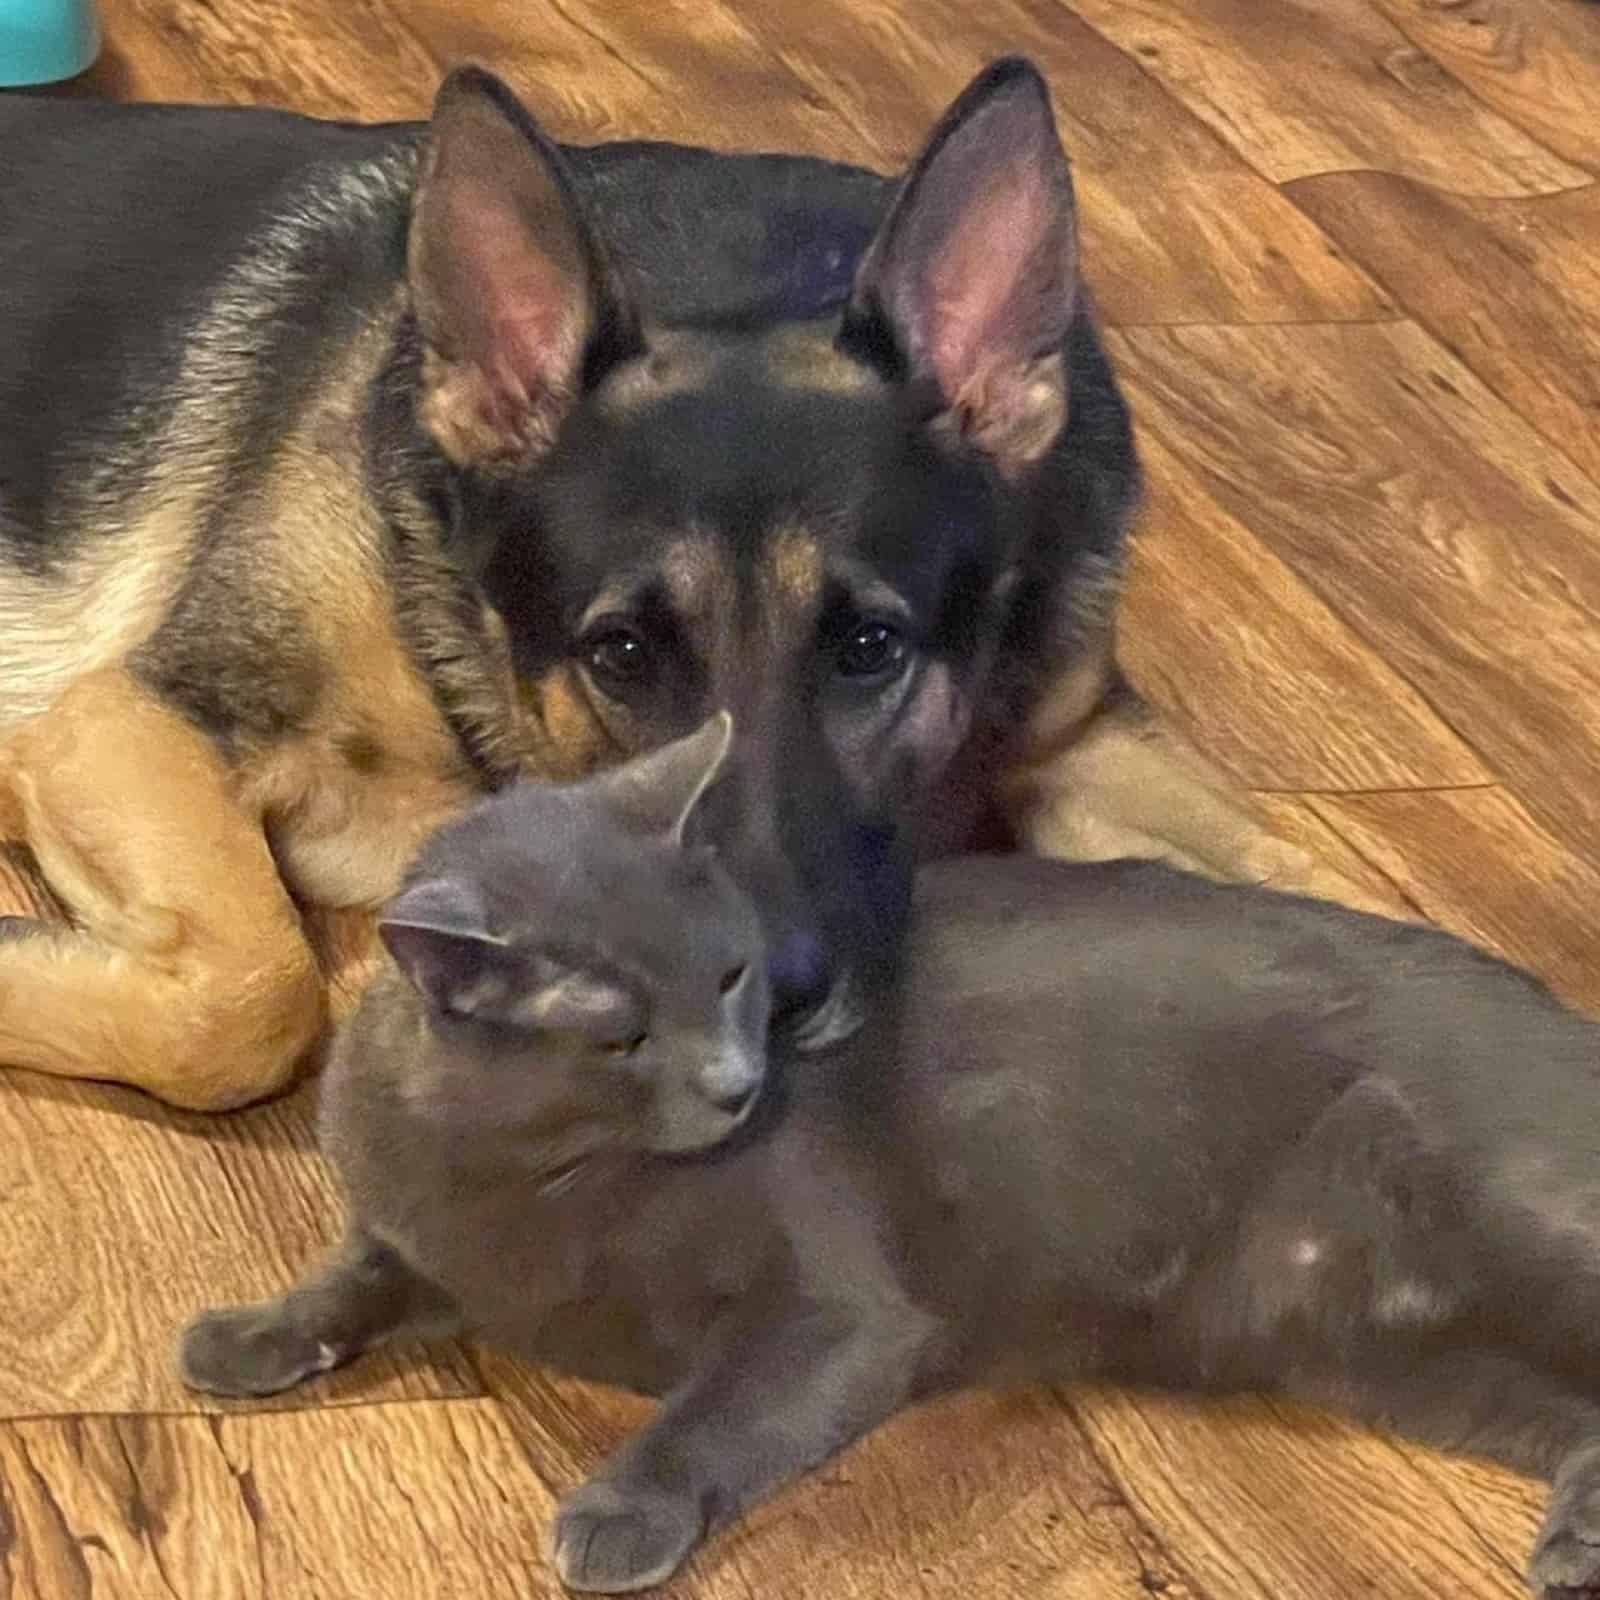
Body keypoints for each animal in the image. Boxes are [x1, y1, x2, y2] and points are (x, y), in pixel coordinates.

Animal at [0, 65, 1350, 1113]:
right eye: (623, 655)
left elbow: (1316, 874)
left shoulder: (1078, 740)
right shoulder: (130, 713)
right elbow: (252, 1001)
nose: (769, 1004)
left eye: (870, 646)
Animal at [181, 716, 1600, 1600]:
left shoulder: (840, 1307)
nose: (738, 1080)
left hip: (1499, 1222)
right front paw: (243, 1337)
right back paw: (1577, 1541)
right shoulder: (420, 1231)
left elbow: (713, 1410)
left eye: (732, 975)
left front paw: (619, 1511)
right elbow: (351, 1274)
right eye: (623, 1033)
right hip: (1396, 1354)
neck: (541, 1174)